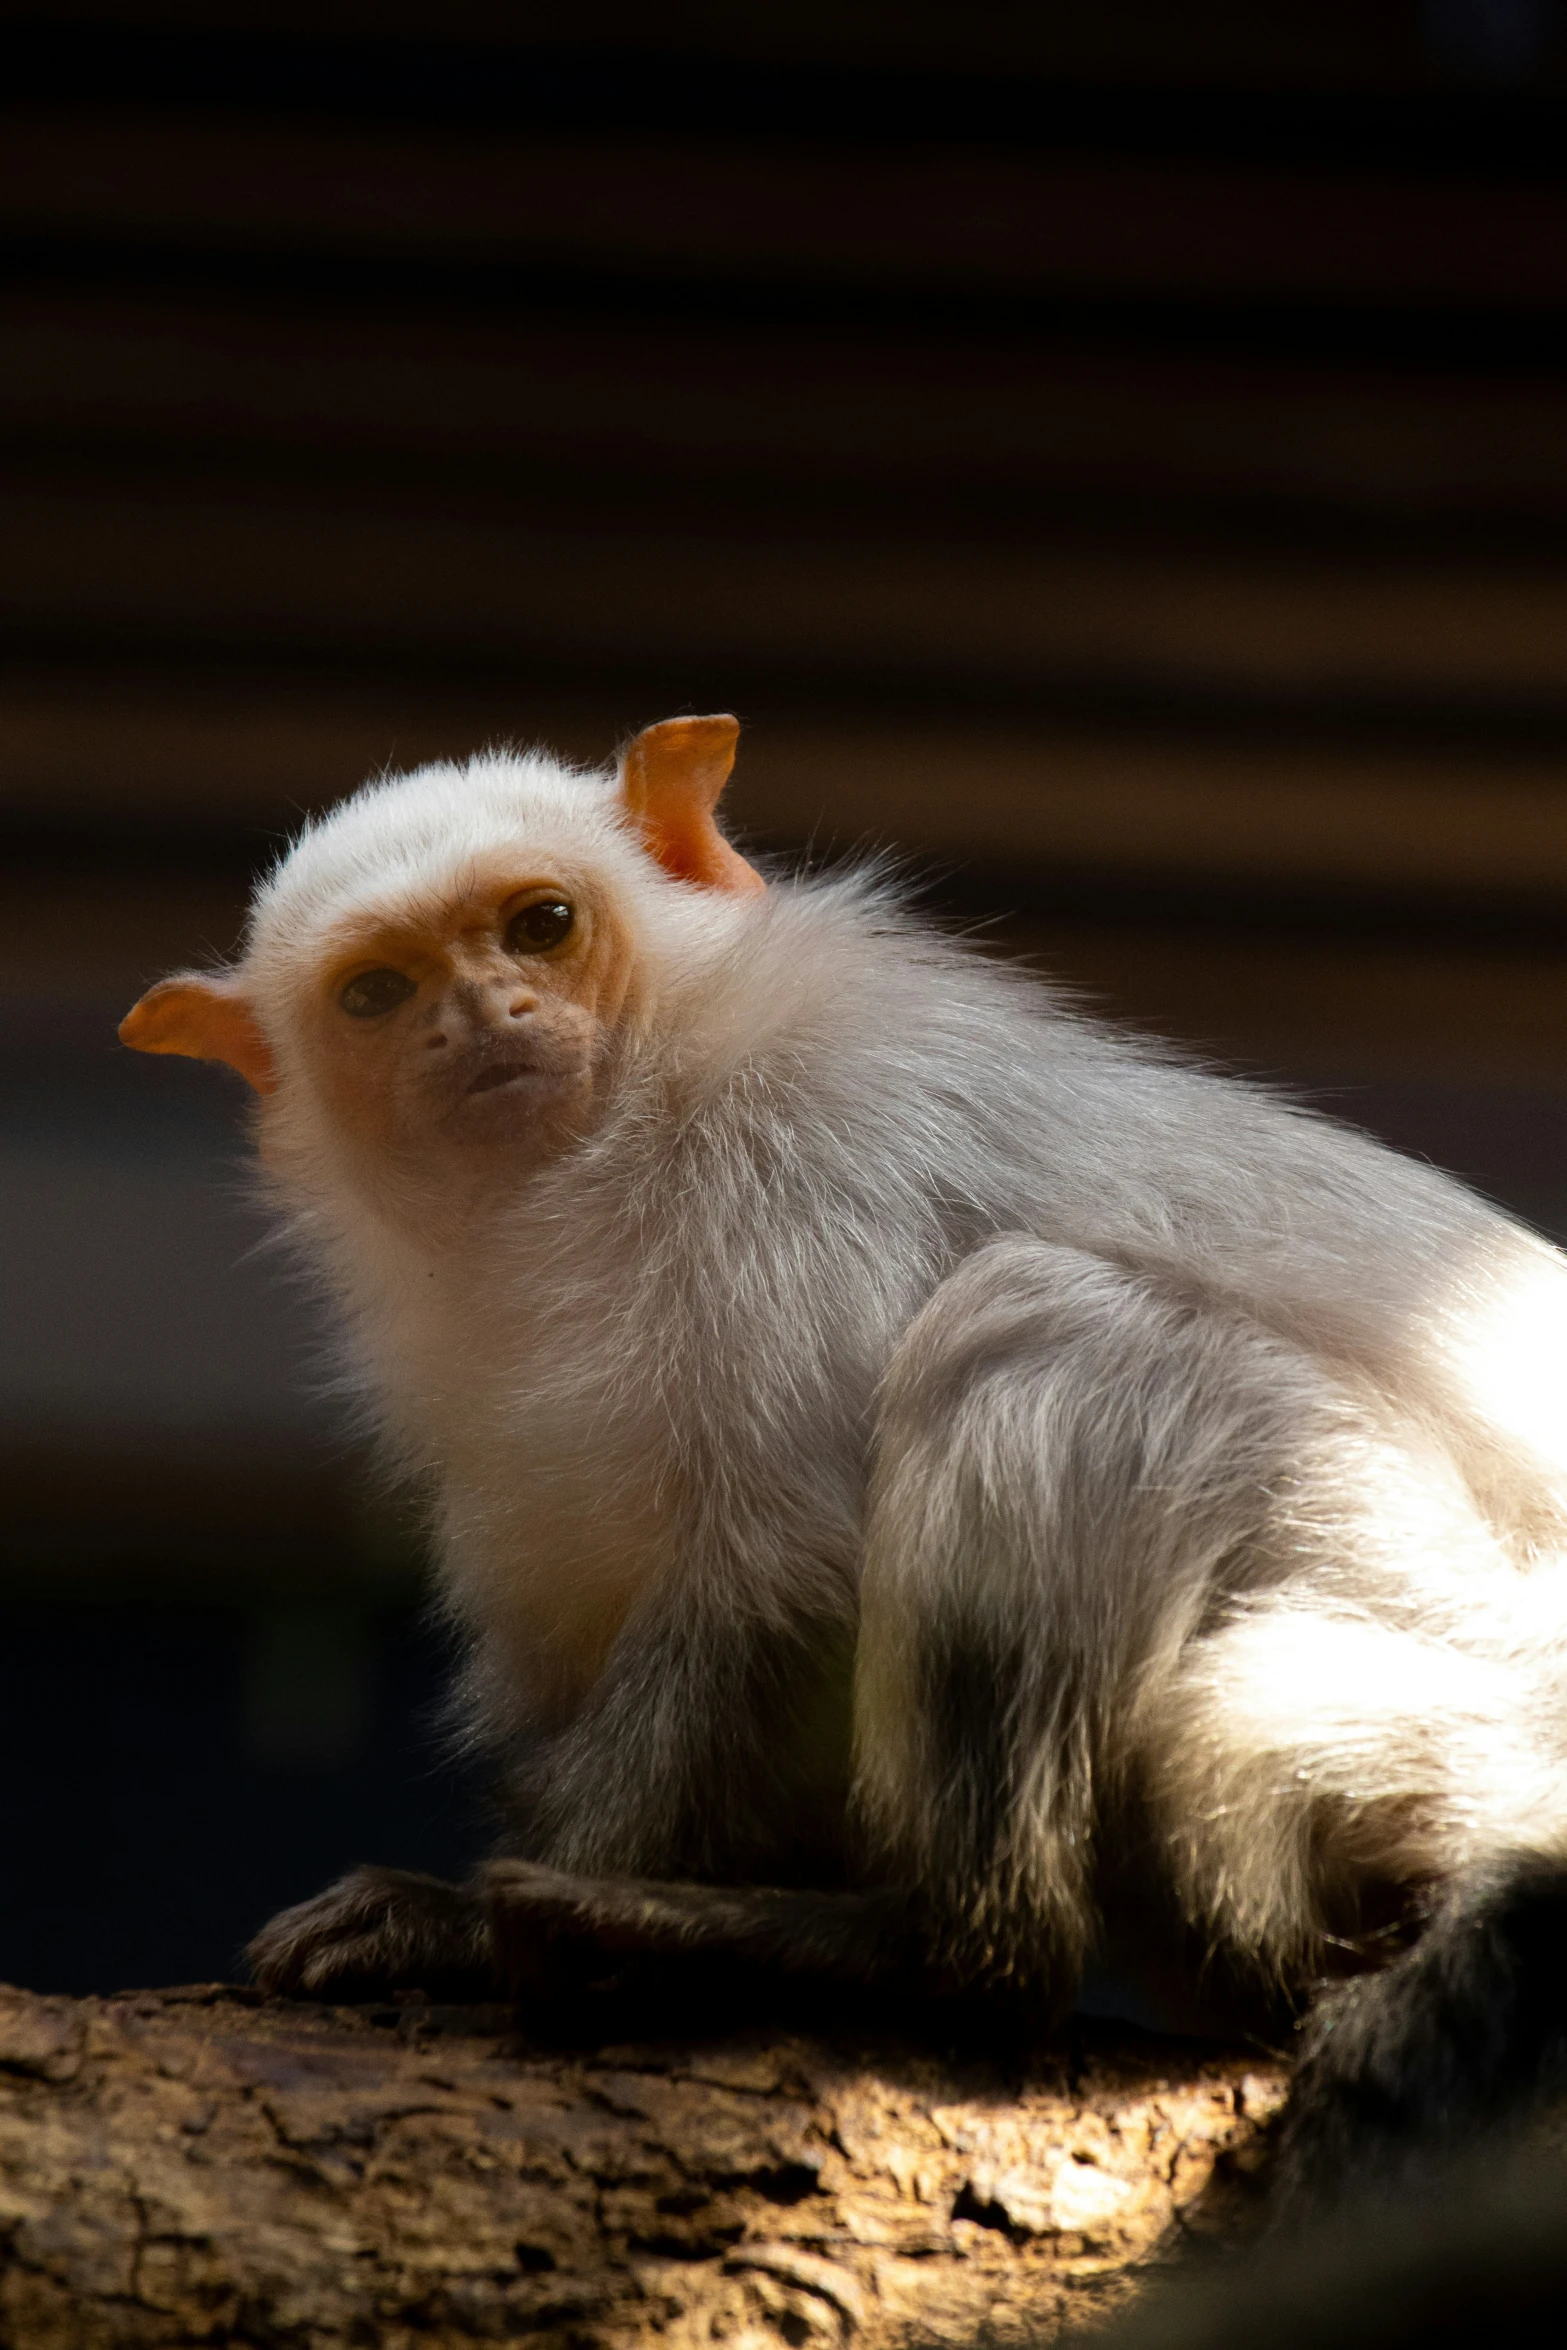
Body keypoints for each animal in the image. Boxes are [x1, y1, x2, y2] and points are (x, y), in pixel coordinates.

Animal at [125, 714, 1567, 2199]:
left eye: (541, 927)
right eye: (376, 993)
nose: (479, 1020)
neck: (580, 1176)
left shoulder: (802, 1157)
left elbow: (781, 1576)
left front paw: (464, 1930)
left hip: (1440, 1646)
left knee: (1037, 1324)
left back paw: (907, 1949)